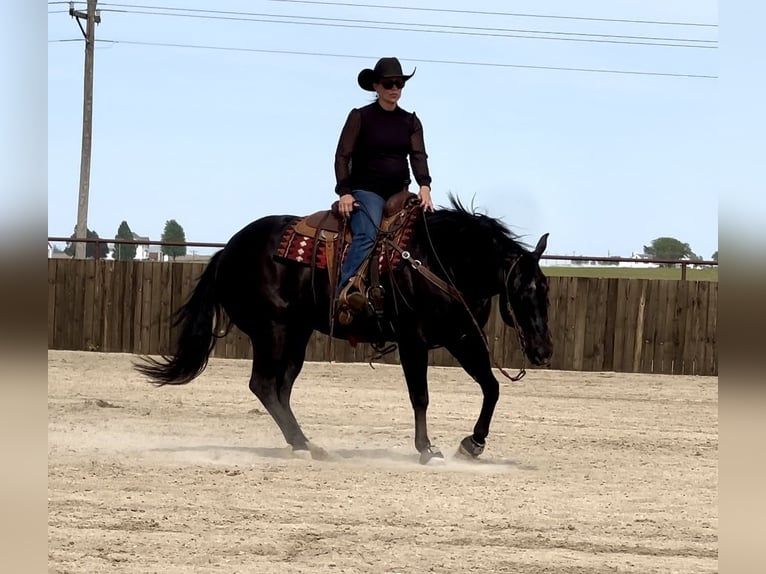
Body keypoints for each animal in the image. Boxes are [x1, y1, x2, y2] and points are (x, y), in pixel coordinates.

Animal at [136, 198, 552, 464]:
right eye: (522, 291)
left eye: (545, 289)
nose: (544, 350)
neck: (438, 260)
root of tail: (227, 252)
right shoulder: (412, 341)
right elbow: (420, 396)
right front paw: (426, 449)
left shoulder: (460, 337)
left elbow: (491, 387)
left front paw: (472, 444)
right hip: (273, 330)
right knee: (264, 384)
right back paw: (305, 444)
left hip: (297, 334)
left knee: (280, 388)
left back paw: (304, 444)